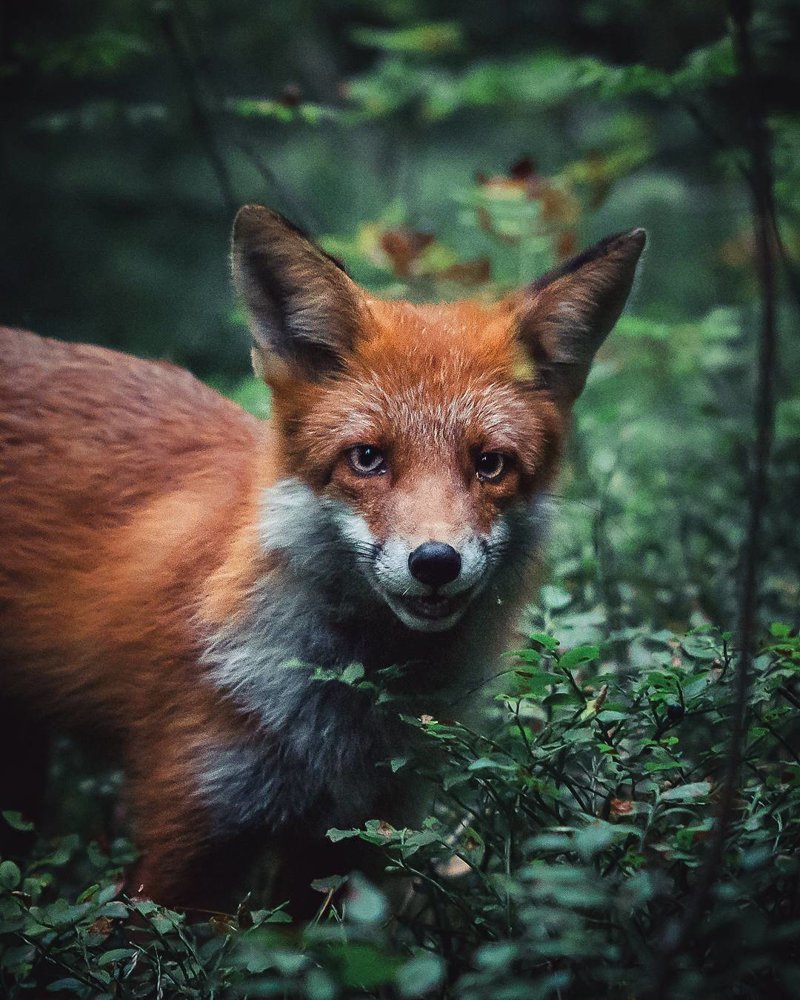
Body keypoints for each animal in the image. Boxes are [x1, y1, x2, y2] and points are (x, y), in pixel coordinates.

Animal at [0, 209, 644, 916]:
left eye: (490, 464)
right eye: (367, 458)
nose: (436, 562)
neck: (347, 726)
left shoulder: (358, 842)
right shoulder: (185, 829)